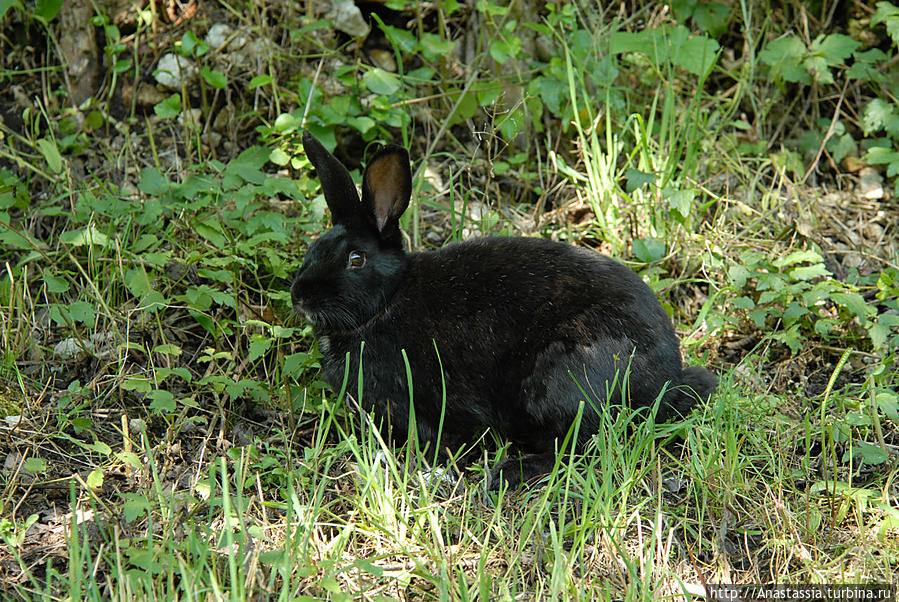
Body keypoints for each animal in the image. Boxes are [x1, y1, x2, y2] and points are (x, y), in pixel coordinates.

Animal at [290, 132, 716, 488]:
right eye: (315, 248)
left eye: (356, 259)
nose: (299, 295)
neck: (388, 300)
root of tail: (665, 378)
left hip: (563, 377)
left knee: (580, 448)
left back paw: (507, 473)